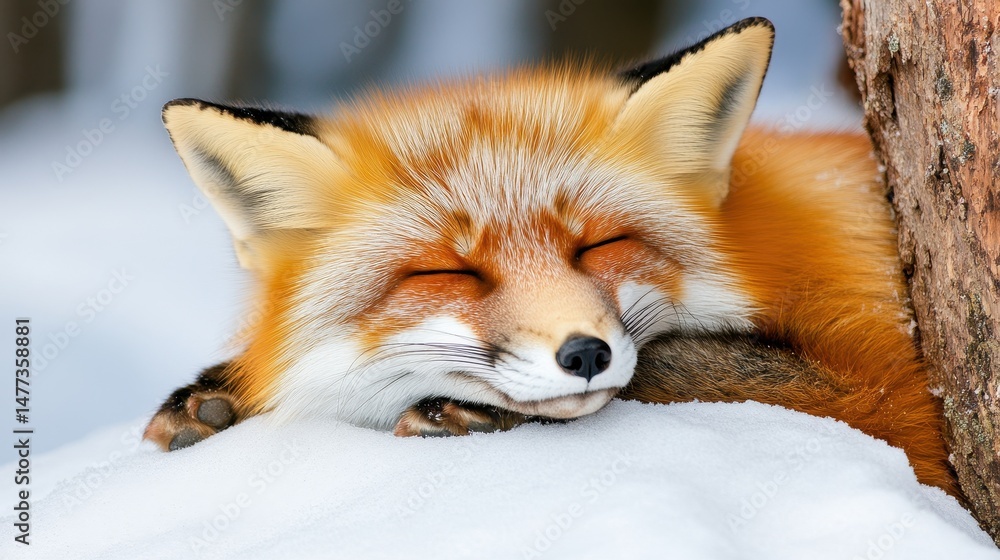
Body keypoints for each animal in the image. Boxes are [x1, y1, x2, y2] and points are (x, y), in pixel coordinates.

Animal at [144, 18, 959, 497]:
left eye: (599, 244)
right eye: (448, 272)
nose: (586, 354)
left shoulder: (897, 397)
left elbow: (689, 369)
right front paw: (224, 393)